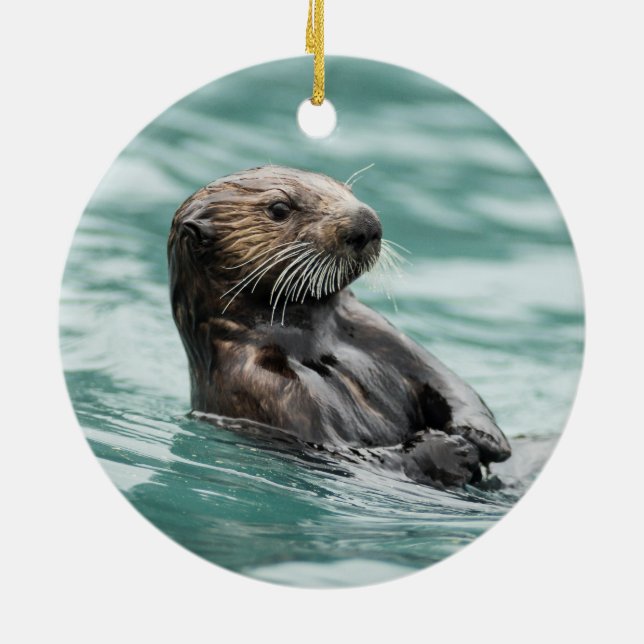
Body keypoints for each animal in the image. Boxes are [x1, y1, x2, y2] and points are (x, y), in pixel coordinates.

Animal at [167, 166, 511, 488]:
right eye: (279, 208)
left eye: (346, 190)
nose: (366, 222)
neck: (312, 342)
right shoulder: (261, 386)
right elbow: (345, 454)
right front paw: (451, 450)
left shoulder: (377, 331)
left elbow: (446, 381)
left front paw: (482, 436)